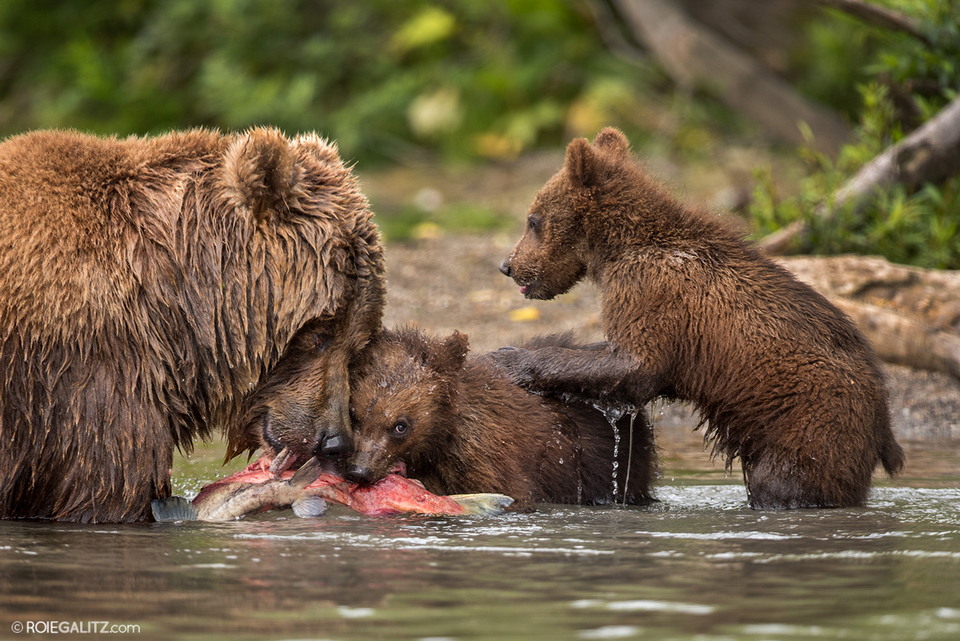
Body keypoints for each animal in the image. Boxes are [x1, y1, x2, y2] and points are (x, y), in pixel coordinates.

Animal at [496, 129, 908, 510]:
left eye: (533, 220)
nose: (508, 265)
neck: (616, 248)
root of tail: (883, 420)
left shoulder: (652, 292)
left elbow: (634, 364)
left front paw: (510, 359)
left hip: (812, 424)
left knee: (783, 482)